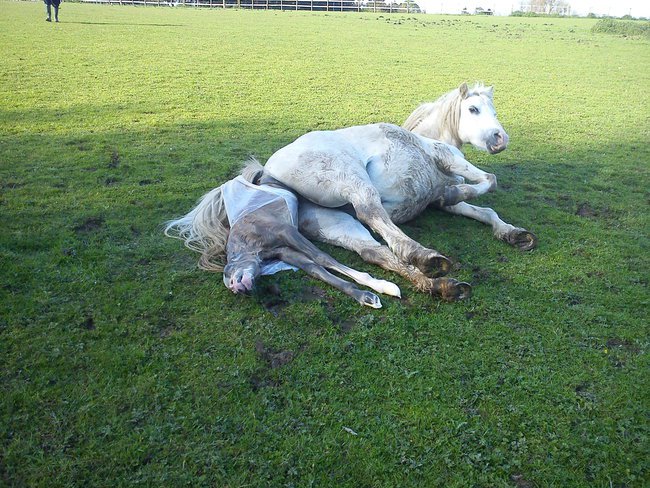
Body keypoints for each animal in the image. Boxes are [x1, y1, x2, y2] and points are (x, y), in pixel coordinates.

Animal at [164, 163, 401, 308]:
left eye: (228, 274)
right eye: (229, 285)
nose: (240, 289)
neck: (248, 245)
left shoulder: (286, 232)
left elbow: (323, 258)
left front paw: (382, 286)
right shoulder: (285, 252)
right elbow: (317, 270)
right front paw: (366, 297)